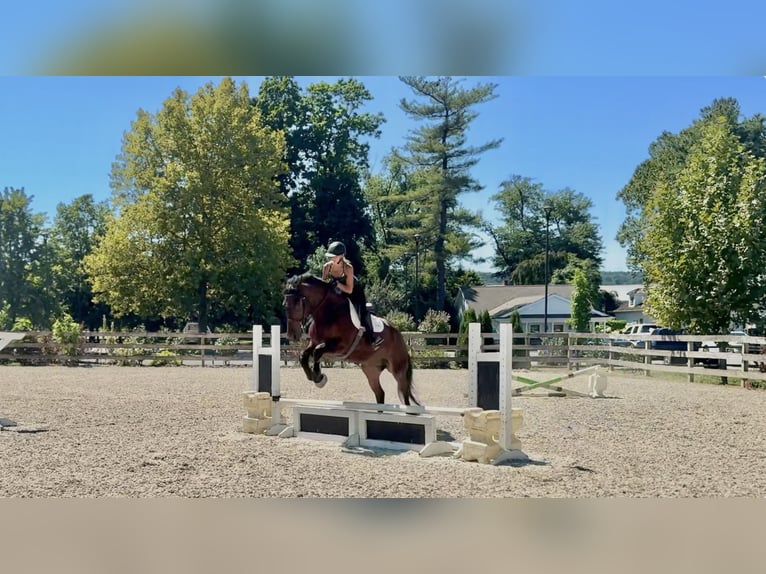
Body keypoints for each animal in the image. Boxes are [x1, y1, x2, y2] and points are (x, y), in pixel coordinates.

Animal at [283, 273, 420, 406]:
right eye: (284, 305)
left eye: (296, 302)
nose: (292, 335)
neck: (329, 312)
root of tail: (399, 336)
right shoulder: (314, 342)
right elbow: (304, 355)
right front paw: (313, 377)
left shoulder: (341, 346)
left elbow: (317, 351)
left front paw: (319, 378)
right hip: (371, 369)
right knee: (380, 393)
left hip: (398, 370)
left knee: (404, 395)